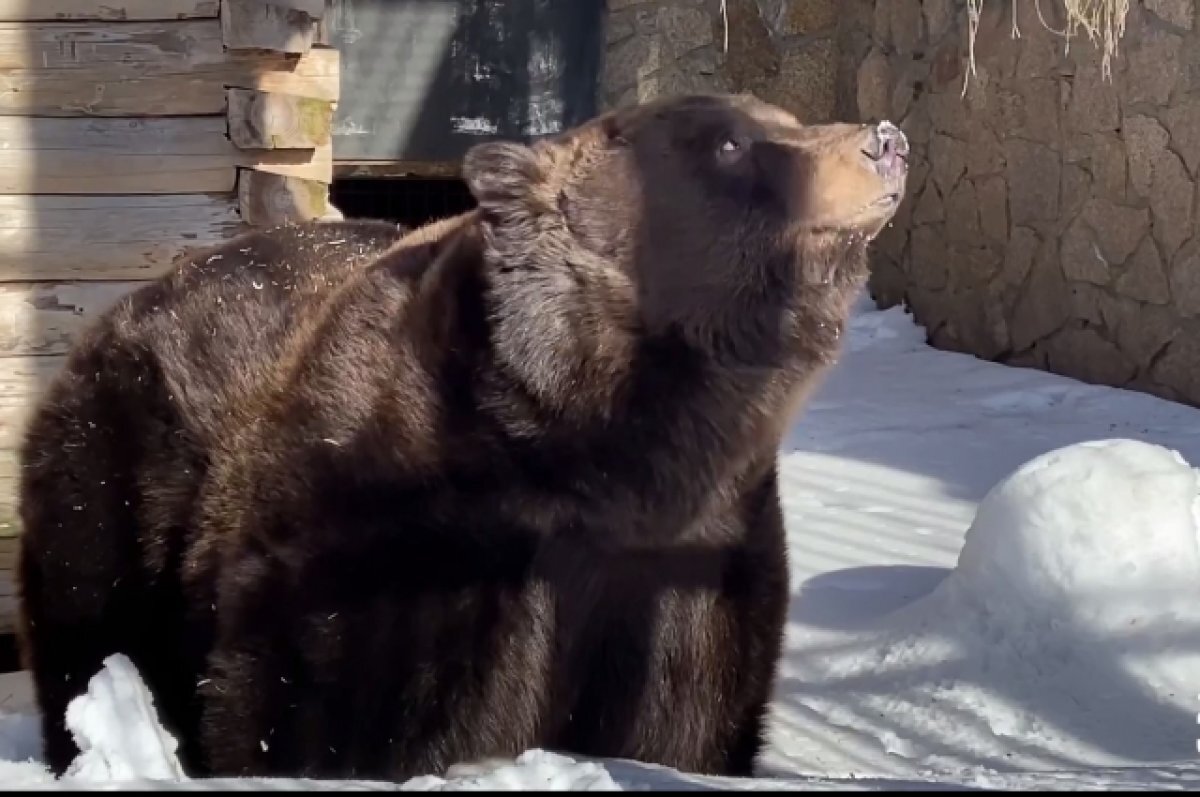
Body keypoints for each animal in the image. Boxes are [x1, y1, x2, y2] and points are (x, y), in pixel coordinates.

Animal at [14, 91, 907, 777]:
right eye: (731, 142)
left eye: (784, 117)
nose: (886, 140)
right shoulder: (407, 523)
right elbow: (321, 694)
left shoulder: (698, 553)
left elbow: (687, 717)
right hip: (124, 469)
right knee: (90, 625)